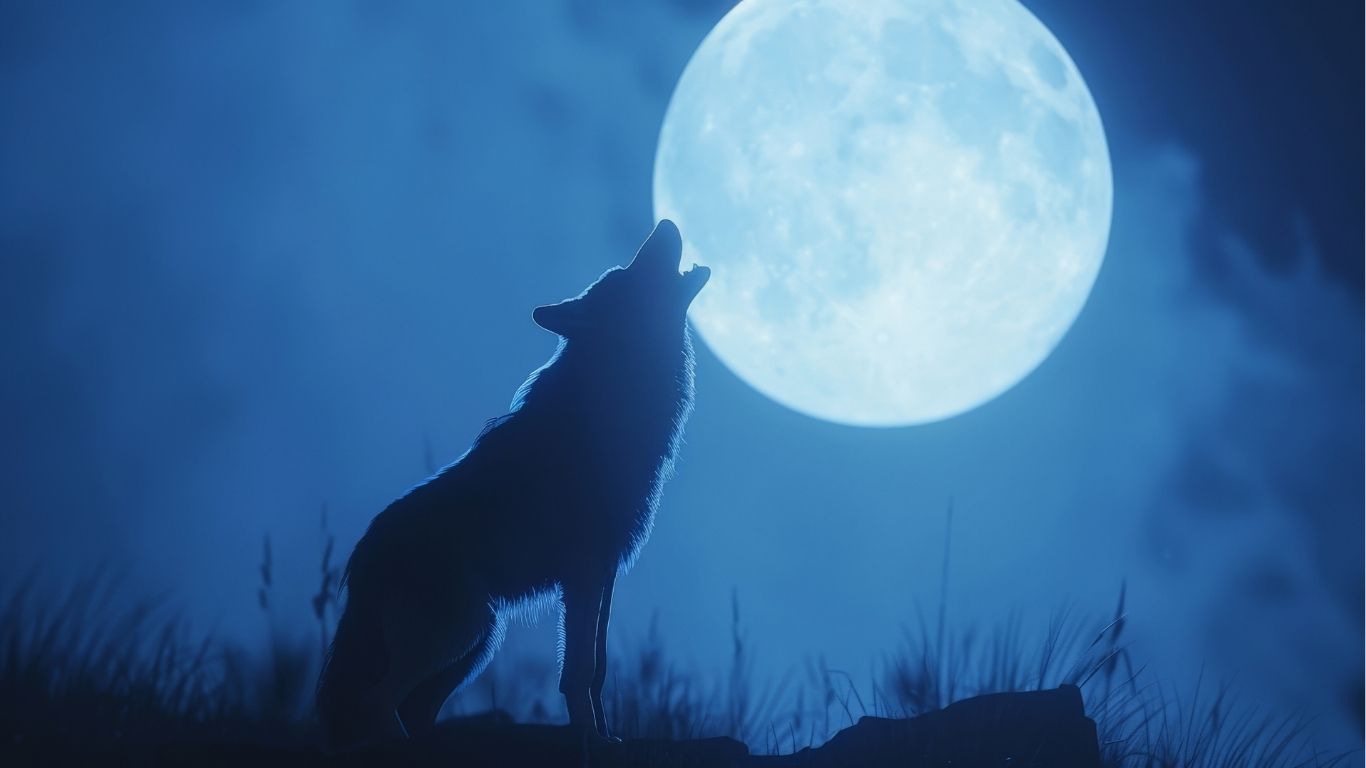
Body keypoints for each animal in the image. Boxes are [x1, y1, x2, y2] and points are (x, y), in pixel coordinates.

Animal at [315, 220, 709, 749]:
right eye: (628, 273)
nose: (665, 223)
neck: (610, 405)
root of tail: (360, 563)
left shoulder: (605, 570)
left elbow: (598, 669)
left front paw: (607, 738)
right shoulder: (583, 572)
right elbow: (578, 671)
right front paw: (586, 739)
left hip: (475, 643)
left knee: (404, 708)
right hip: (462, 631)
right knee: (374, 703)